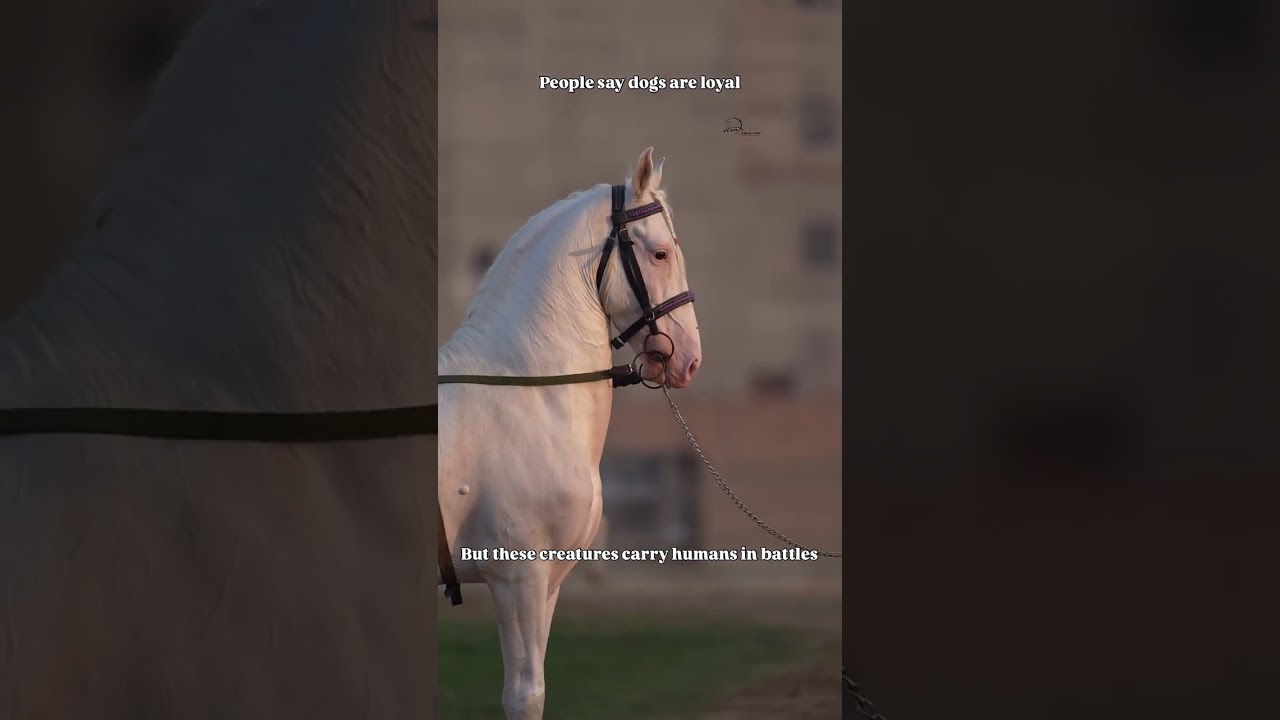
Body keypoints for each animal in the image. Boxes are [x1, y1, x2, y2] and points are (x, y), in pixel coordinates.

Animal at [437, 146, 703, 719]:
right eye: (660, 254)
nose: (689, 360)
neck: (529, 392)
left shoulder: (549, 582)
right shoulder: (518, 577)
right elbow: (525, 694)